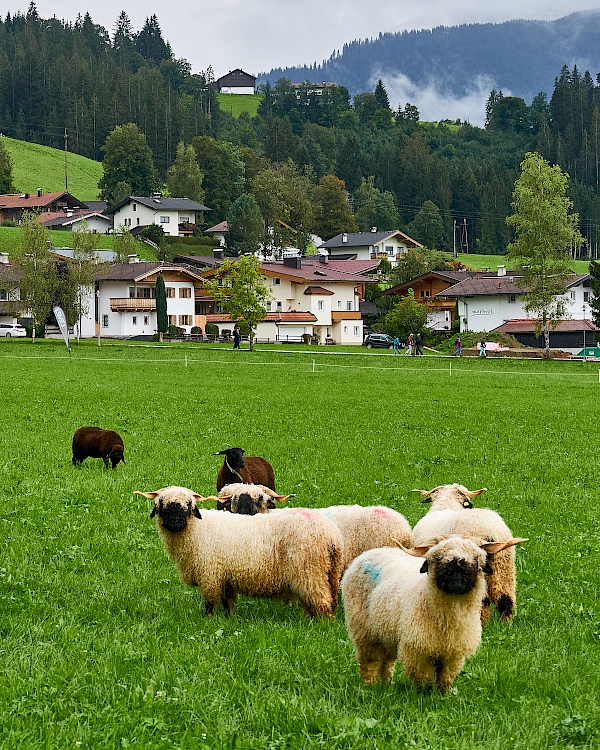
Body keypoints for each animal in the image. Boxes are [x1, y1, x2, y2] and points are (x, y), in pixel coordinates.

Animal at [135, 490, 342, 620]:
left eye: (188, 505)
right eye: (162, 503)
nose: (175, 522)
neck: (197, 530)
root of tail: (332, 535)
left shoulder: (210, 575)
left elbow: (210, 603)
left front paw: (209, 621)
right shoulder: (225, 577)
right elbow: (228, 603)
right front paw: (230, 619)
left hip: (308, 571)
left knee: (321, 601)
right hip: (328, 573)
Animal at [342, 536, 524, 696]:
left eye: (476, 559)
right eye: (438, 557)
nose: (456, 570)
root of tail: (373, 551)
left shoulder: (453, 655)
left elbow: (445, 681)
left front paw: (443, 697)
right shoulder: (418, 651)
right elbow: (425, 682)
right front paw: (426, 699)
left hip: (385, 632)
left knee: (386, 661)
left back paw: (386, 684)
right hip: (364, 631)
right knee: (370, 662)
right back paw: (370, 686)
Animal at [414, 488, 524, 624]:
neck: (445, 506)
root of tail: (490, 533)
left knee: (483, 601)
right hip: (504, 566)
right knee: (506, 598)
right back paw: (505, 624)